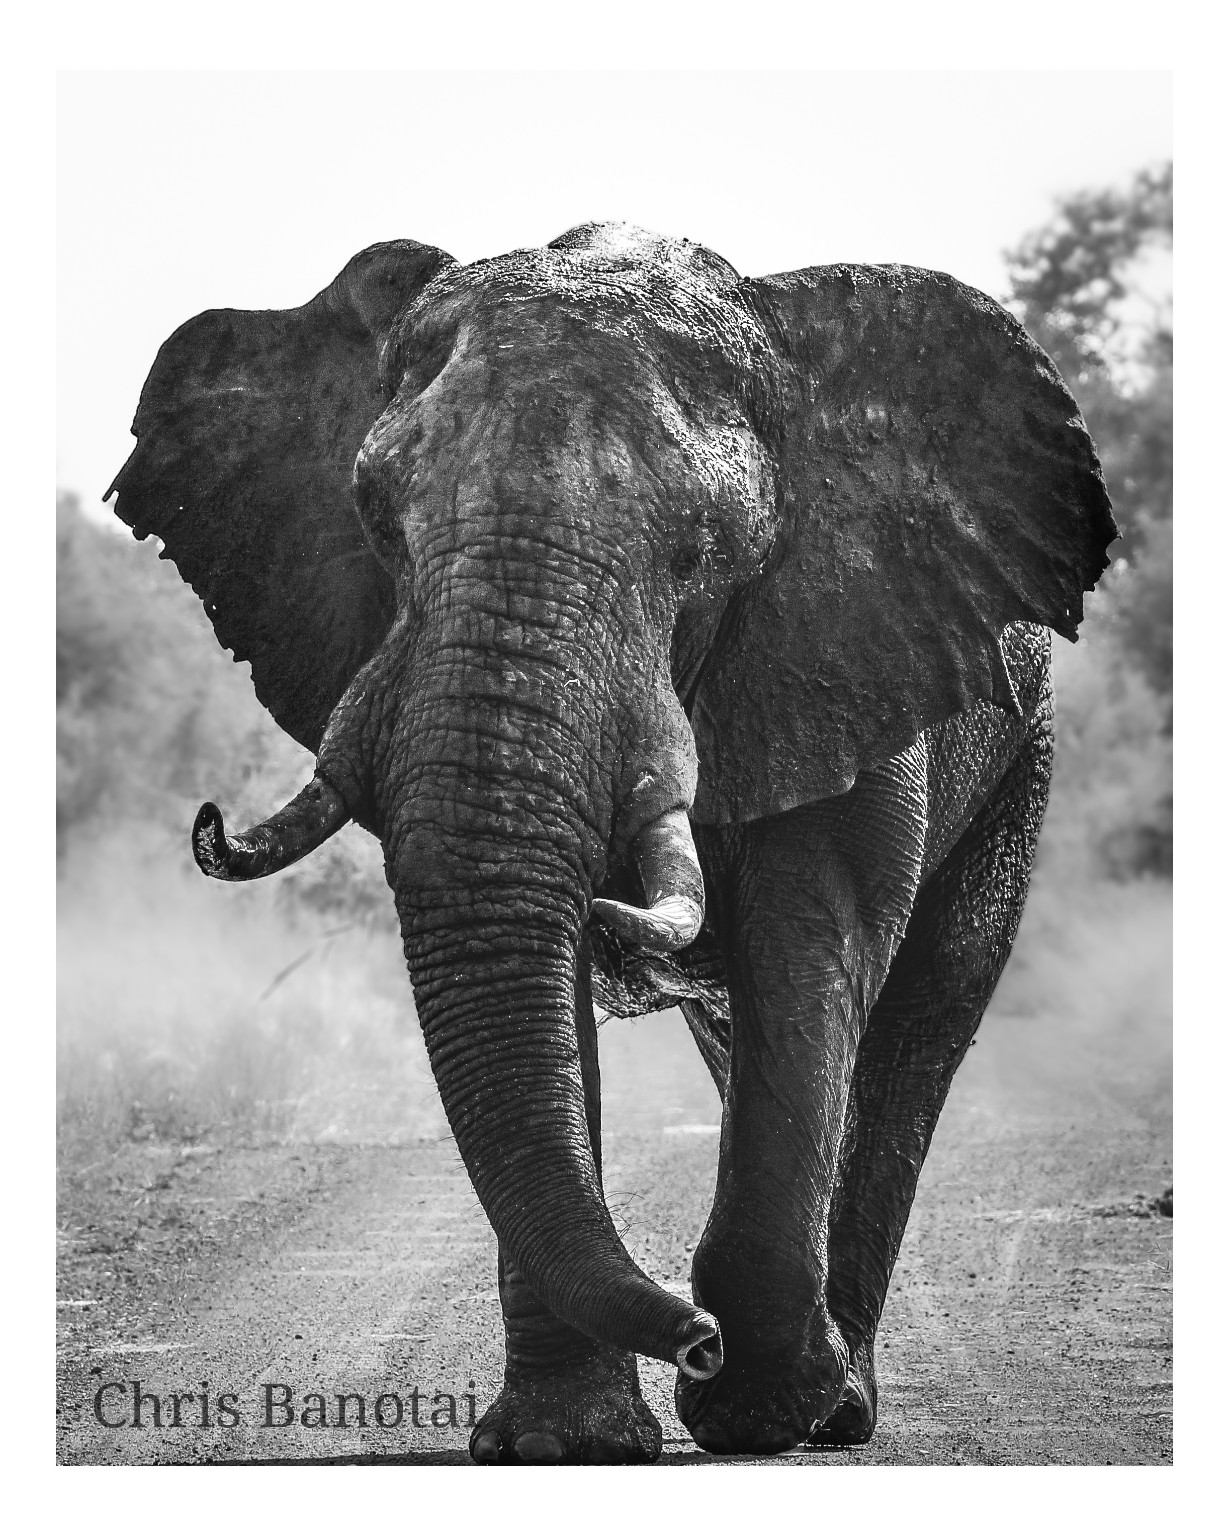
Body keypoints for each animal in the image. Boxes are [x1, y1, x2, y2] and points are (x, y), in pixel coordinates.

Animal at [108, 222, 1115, 1463]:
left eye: (700, 551)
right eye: (377, 522)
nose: (694, 1339)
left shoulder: (840, 650)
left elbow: (809, 942)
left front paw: (750, 1411)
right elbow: (542, 994)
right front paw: (568, 1443)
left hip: (1020, 759)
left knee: (914, 1021)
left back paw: (837, 1409)